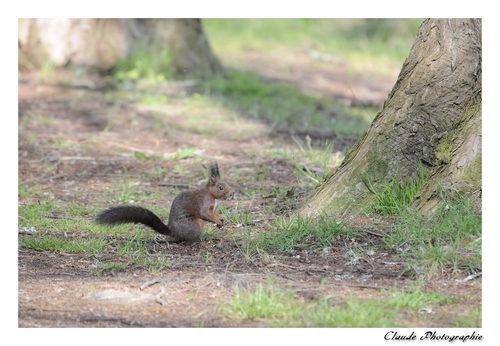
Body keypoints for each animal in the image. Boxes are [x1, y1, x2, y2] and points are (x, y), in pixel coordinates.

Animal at [94, 162, 231, 243]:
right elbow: (205, 214)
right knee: (185, 239)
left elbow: (214, 213)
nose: (230, 194)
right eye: (221, 187)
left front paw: (221, 219)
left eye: (227, 184)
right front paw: (218, 221)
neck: (212, 195)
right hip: (195, 224)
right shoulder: (204, 203)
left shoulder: (213, 208)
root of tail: (173, 232)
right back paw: (197, 240)